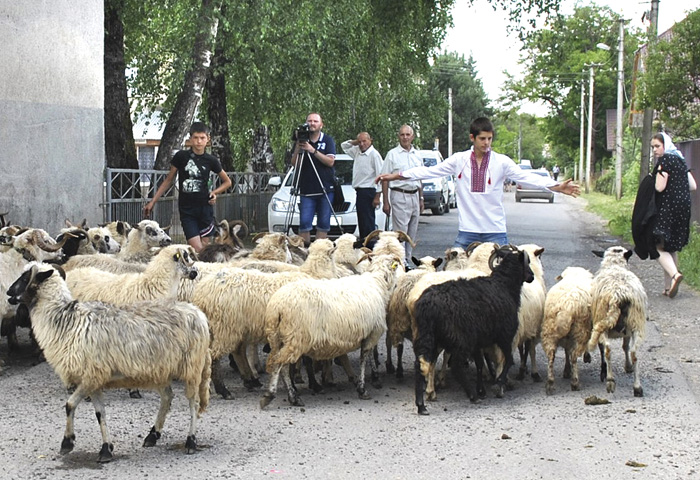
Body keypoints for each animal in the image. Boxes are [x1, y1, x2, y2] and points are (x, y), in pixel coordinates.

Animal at [6, 260, 212, 464]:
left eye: (25, 278)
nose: (8, 293)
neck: (65, 321)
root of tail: (197, 312)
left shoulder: (90, 377)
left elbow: (70, 405)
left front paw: (67, 443)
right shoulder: (95, 379)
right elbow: (100, 414)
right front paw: (106, 449)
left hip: (192, 367)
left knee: (193, 403)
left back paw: (190, 441)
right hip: (160, 370)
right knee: (167, 397)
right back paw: (152, 436)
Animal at [260, 253, 402, 406]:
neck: (378, 283)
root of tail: (278, 307)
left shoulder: (368, 333)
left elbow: (367, 356)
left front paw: (373, 378)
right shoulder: (373, 332)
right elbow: (364, 358)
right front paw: (363, 388)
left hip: (276, 337)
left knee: (278, 363)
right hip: (296, 338)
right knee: (280, 364)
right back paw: (280, 396)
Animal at [412, 249, 532, 414]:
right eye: (527, 262)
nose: (532, 276)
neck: (504, 285)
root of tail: (429, 304)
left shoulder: (478, 341)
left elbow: (480, 364)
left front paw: (482, 389)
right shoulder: (505, 335)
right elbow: (509, 360)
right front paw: (497, 384)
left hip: (427, 336)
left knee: (420, 364)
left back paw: (421, 405)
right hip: (461, 339)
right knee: (456, 366)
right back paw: (471, 396)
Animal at [540, 266, 592, 394]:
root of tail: (566, 308)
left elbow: (565, 352)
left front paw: (566, 370)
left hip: (549, 330)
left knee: (551, 356)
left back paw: (550, 384)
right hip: (580, 331)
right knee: (573, 356)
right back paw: (575, 383)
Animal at [584, 248, 644, 398]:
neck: (614, 266)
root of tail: (618, 295)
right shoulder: (627, 330)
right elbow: (625, 346)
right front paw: (627, 367)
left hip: (603, 319)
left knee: (608, 349)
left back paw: (610, 381)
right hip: (636, 322)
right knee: (634, 353)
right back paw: (637, 387)